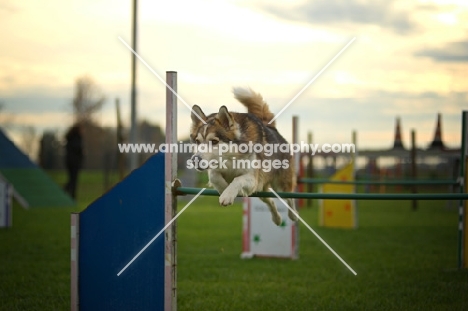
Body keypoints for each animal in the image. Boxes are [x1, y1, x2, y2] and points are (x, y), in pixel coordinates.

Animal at [189, 88, 296, 227]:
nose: (195, 160)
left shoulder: (252, 178)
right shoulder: (218, 171)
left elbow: (237, 180)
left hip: (281, 184)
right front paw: (224, 189)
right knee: (270, 200)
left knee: (290, 197)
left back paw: (294, 215)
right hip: (261, 189)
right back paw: (277, 219)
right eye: (197, 142)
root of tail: (271, 127)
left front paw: (227, 195)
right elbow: (214, 177)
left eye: (214, 141)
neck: (230, 158)